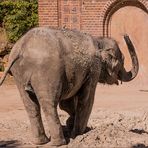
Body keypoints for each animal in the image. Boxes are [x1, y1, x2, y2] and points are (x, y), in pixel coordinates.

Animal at [0, 27, 139, 147]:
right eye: (122, 60)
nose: (125, 34)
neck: (99, 41)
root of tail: (20, 48)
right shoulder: (94, 68)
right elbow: (87, 99)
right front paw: (80, 133)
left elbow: (67, 103)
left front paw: (70, 126)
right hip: (47, 72)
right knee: (49, 104)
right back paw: (58, 143)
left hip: (19, 74)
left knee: (30, 105)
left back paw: (40, 142)